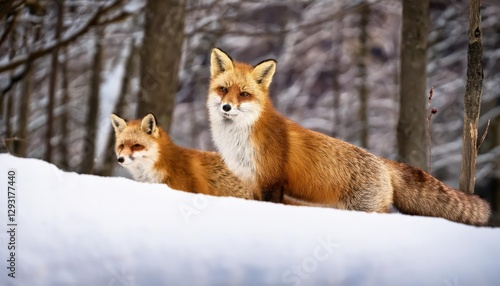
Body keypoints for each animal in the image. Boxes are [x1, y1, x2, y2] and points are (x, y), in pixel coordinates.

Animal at [205, 47, 490, 226]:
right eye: (224, 90)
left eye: (244, 94)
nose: (226, 107)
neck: (240, 140)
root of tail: (382, 161)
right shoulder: (253, 182)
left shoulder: (272, 182)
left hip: (366, 209)